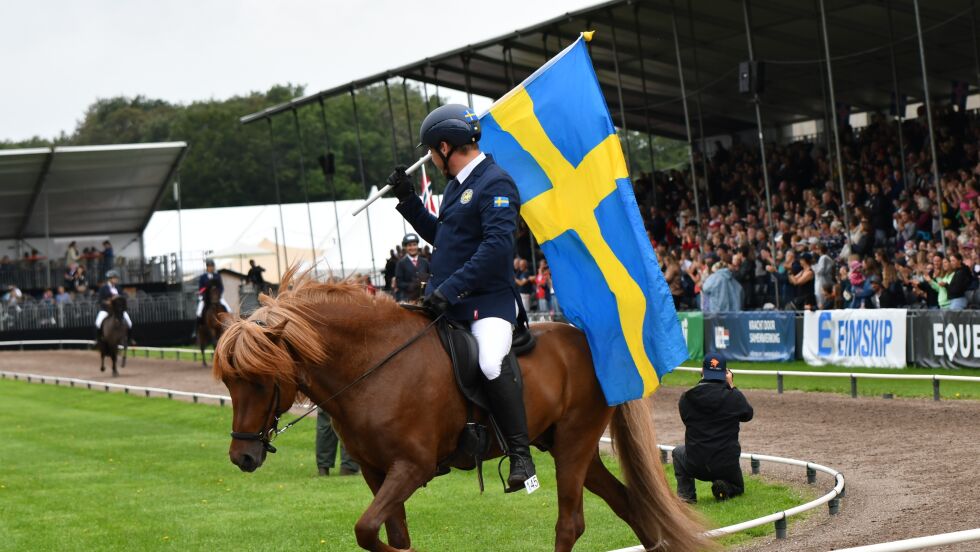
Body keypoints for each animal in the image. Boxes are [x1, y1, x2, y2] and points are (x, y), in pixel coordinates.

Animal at [214, 272, 708, 552]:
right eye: (228, 382)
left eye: (259, 379)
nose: (242, 457)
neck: (374, 365)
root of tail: (591, 341)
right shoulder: (377, 472)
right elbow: (389, 535)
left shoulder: (411, 467)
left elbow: (367, 531)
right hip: (572, 448)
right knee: (627, 504)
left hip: (574, 443)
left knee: (570, 524)